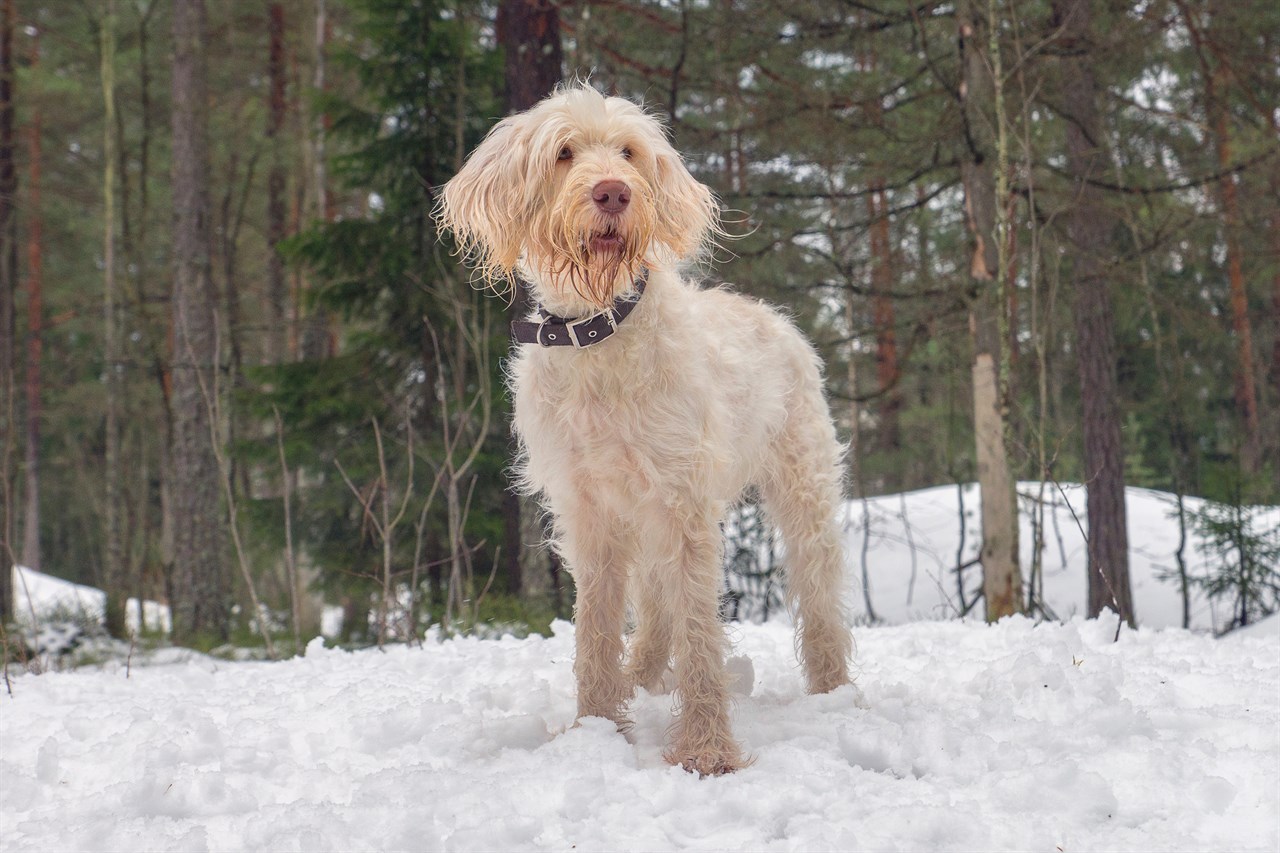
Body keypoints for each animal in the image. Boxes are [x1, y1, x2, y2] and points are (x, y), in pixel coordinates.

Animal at [437, 83, 849, 773]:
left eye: (628, 151)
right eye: (564, 152)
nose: (612, 192)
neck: (600, 336)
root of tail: (773, 316)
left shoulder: (682, 503)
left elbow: (701, 634)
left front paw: (707, 751)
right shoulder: (591, 511)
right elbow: (596, 629)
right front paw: (597, 727)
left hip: (802, 491)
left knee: (819, 599)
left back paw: (835, 692)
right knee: (655, 616)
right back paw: (642, 677)